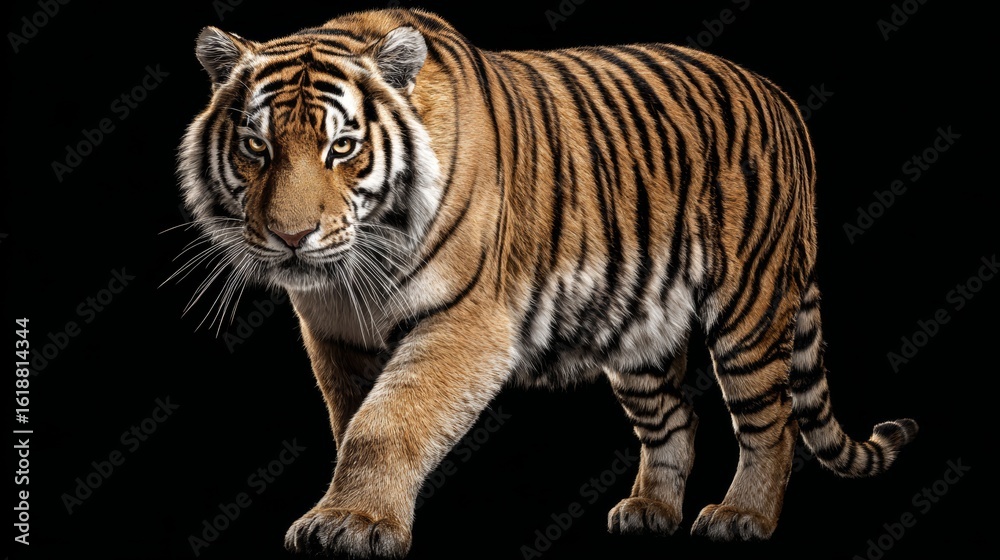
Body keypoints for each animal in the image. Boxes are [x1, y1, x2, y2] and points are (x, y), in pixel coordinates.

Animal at [176, 7, 918, 558]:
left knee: (773, 424)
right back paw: (648, 511)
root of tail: (782, 98)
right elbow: (351, 418)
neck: (355, 271)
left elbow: (386, 423)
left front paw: (352, 524)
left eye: (342, 148)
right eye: (257, 147)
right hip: (641, 332)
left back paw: (743, 518)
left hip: (749, 308)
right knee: (676, 418)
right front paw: (351, 507)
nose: (291, 237)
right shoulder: (334, 332)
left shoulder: (467, 322)